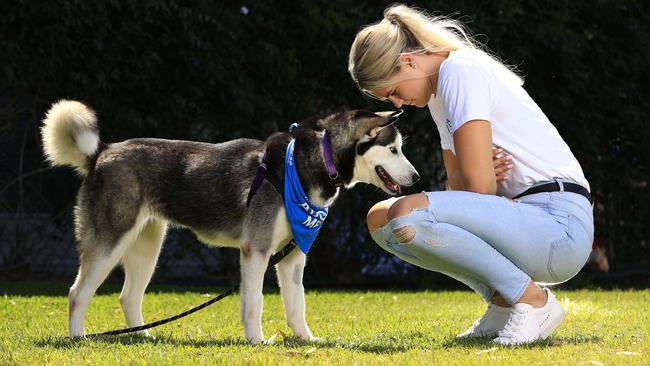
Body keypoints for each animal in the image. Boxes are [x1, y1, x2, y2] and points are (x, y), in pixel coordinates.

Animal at [40, 99, 418, 344]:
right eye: (394, 149)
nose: (415, 178)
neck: (305, 165)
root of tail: (101, 152)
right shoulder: (256, 250)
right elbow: (255, 302)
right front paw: (257, 341)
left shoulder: (294, 256)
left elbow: (298, 305)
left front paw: (306, 340)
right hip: (110, 243)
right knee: (76, 293)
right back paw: (78, 338)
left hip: (147, 247)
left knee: (128, 297)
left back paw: (143, 338)